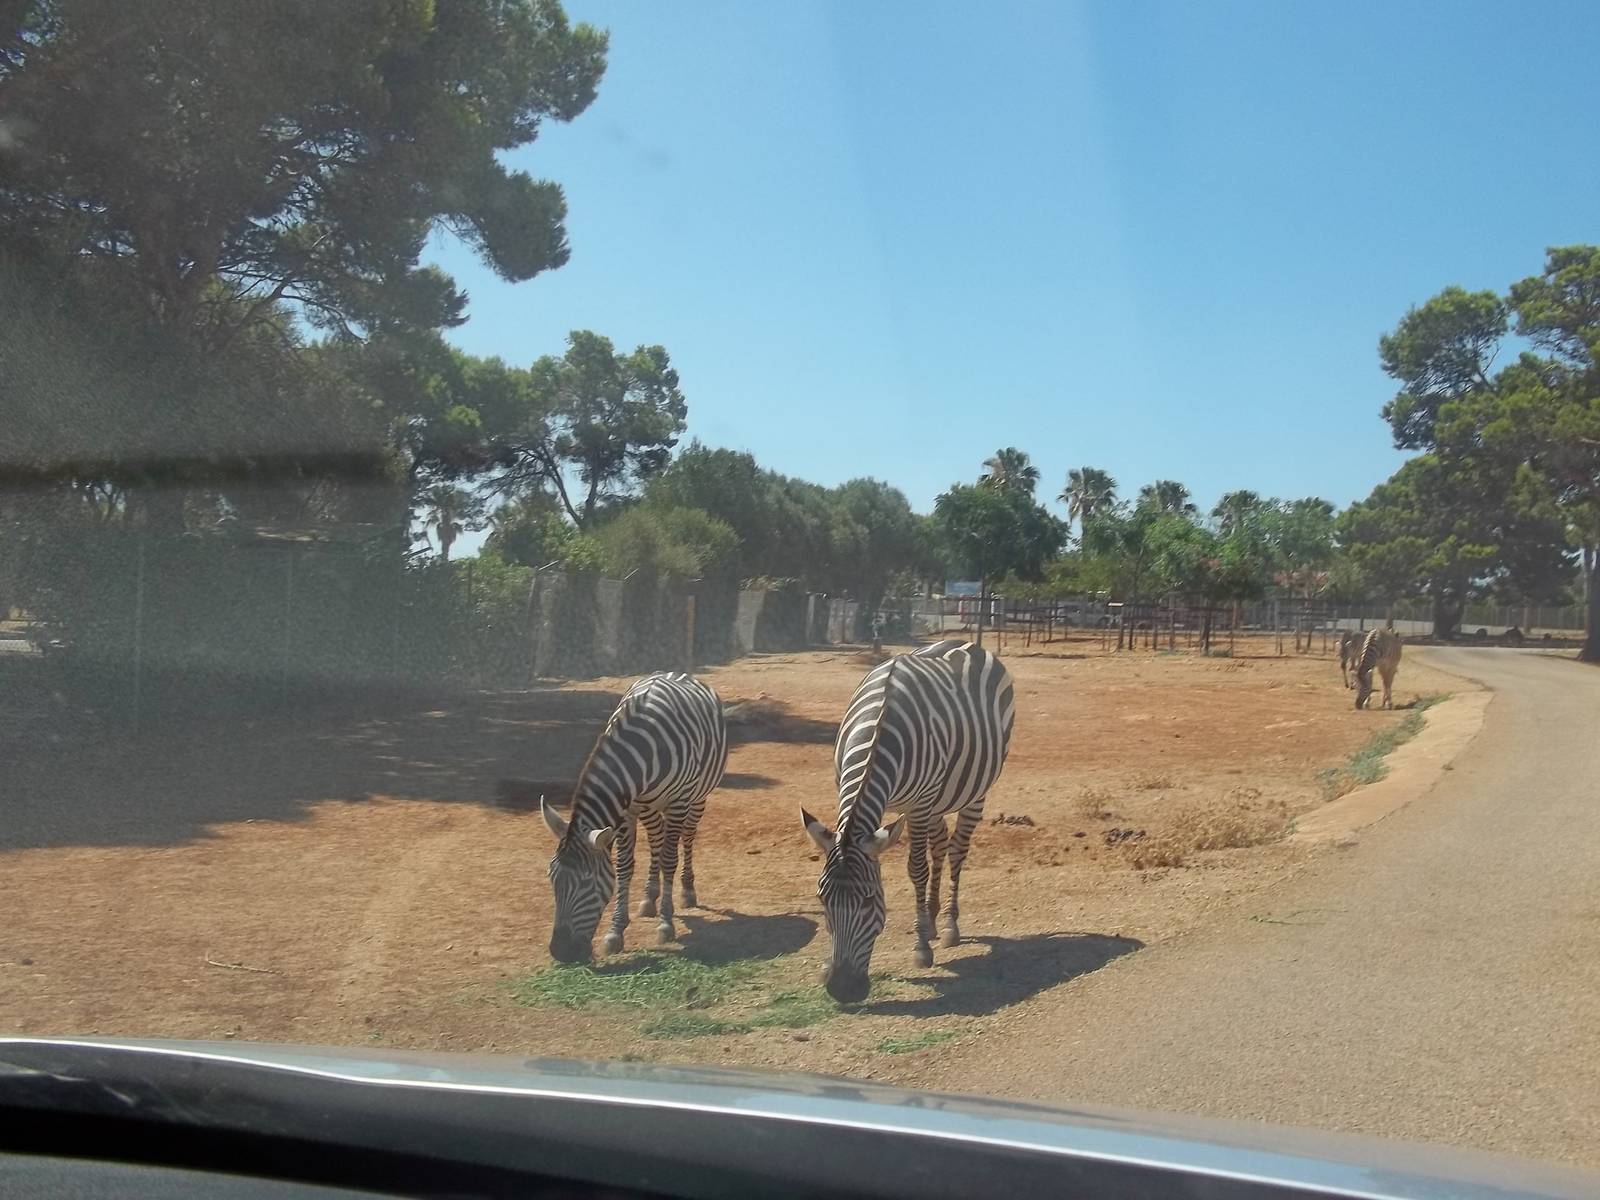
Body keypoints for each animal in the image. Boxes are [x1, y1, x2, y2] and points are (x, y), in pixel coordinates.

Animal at [539, 672, 728, 963]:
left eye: (587, 883)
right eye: (552, 878)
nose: (560, 952)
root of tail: (677, 672)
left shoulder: (678, 801)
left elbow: (670, 860)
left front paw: (666, 924)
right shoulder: (628, 809)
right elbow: (624, 866)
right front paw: (616, 931)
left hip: (696, 798)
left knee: (686, 838)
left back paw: (686, 891)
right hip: (649, 806)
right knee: (656, 841)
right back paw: (650, 897)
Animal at [800, 639, 1014, 1004]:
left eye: (869, 900)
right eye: (821, 899)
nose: (843, 990)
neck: (878, 728)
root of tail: (965, 642)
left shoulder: (918, 804)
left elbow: (916, 869)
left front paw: (921, 949)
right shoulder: (850, 788)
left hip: (973, 793)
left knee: (956, 851)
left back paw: (949, 926)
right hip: (938, 800)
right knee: (940, 844)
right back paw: (931, 918)